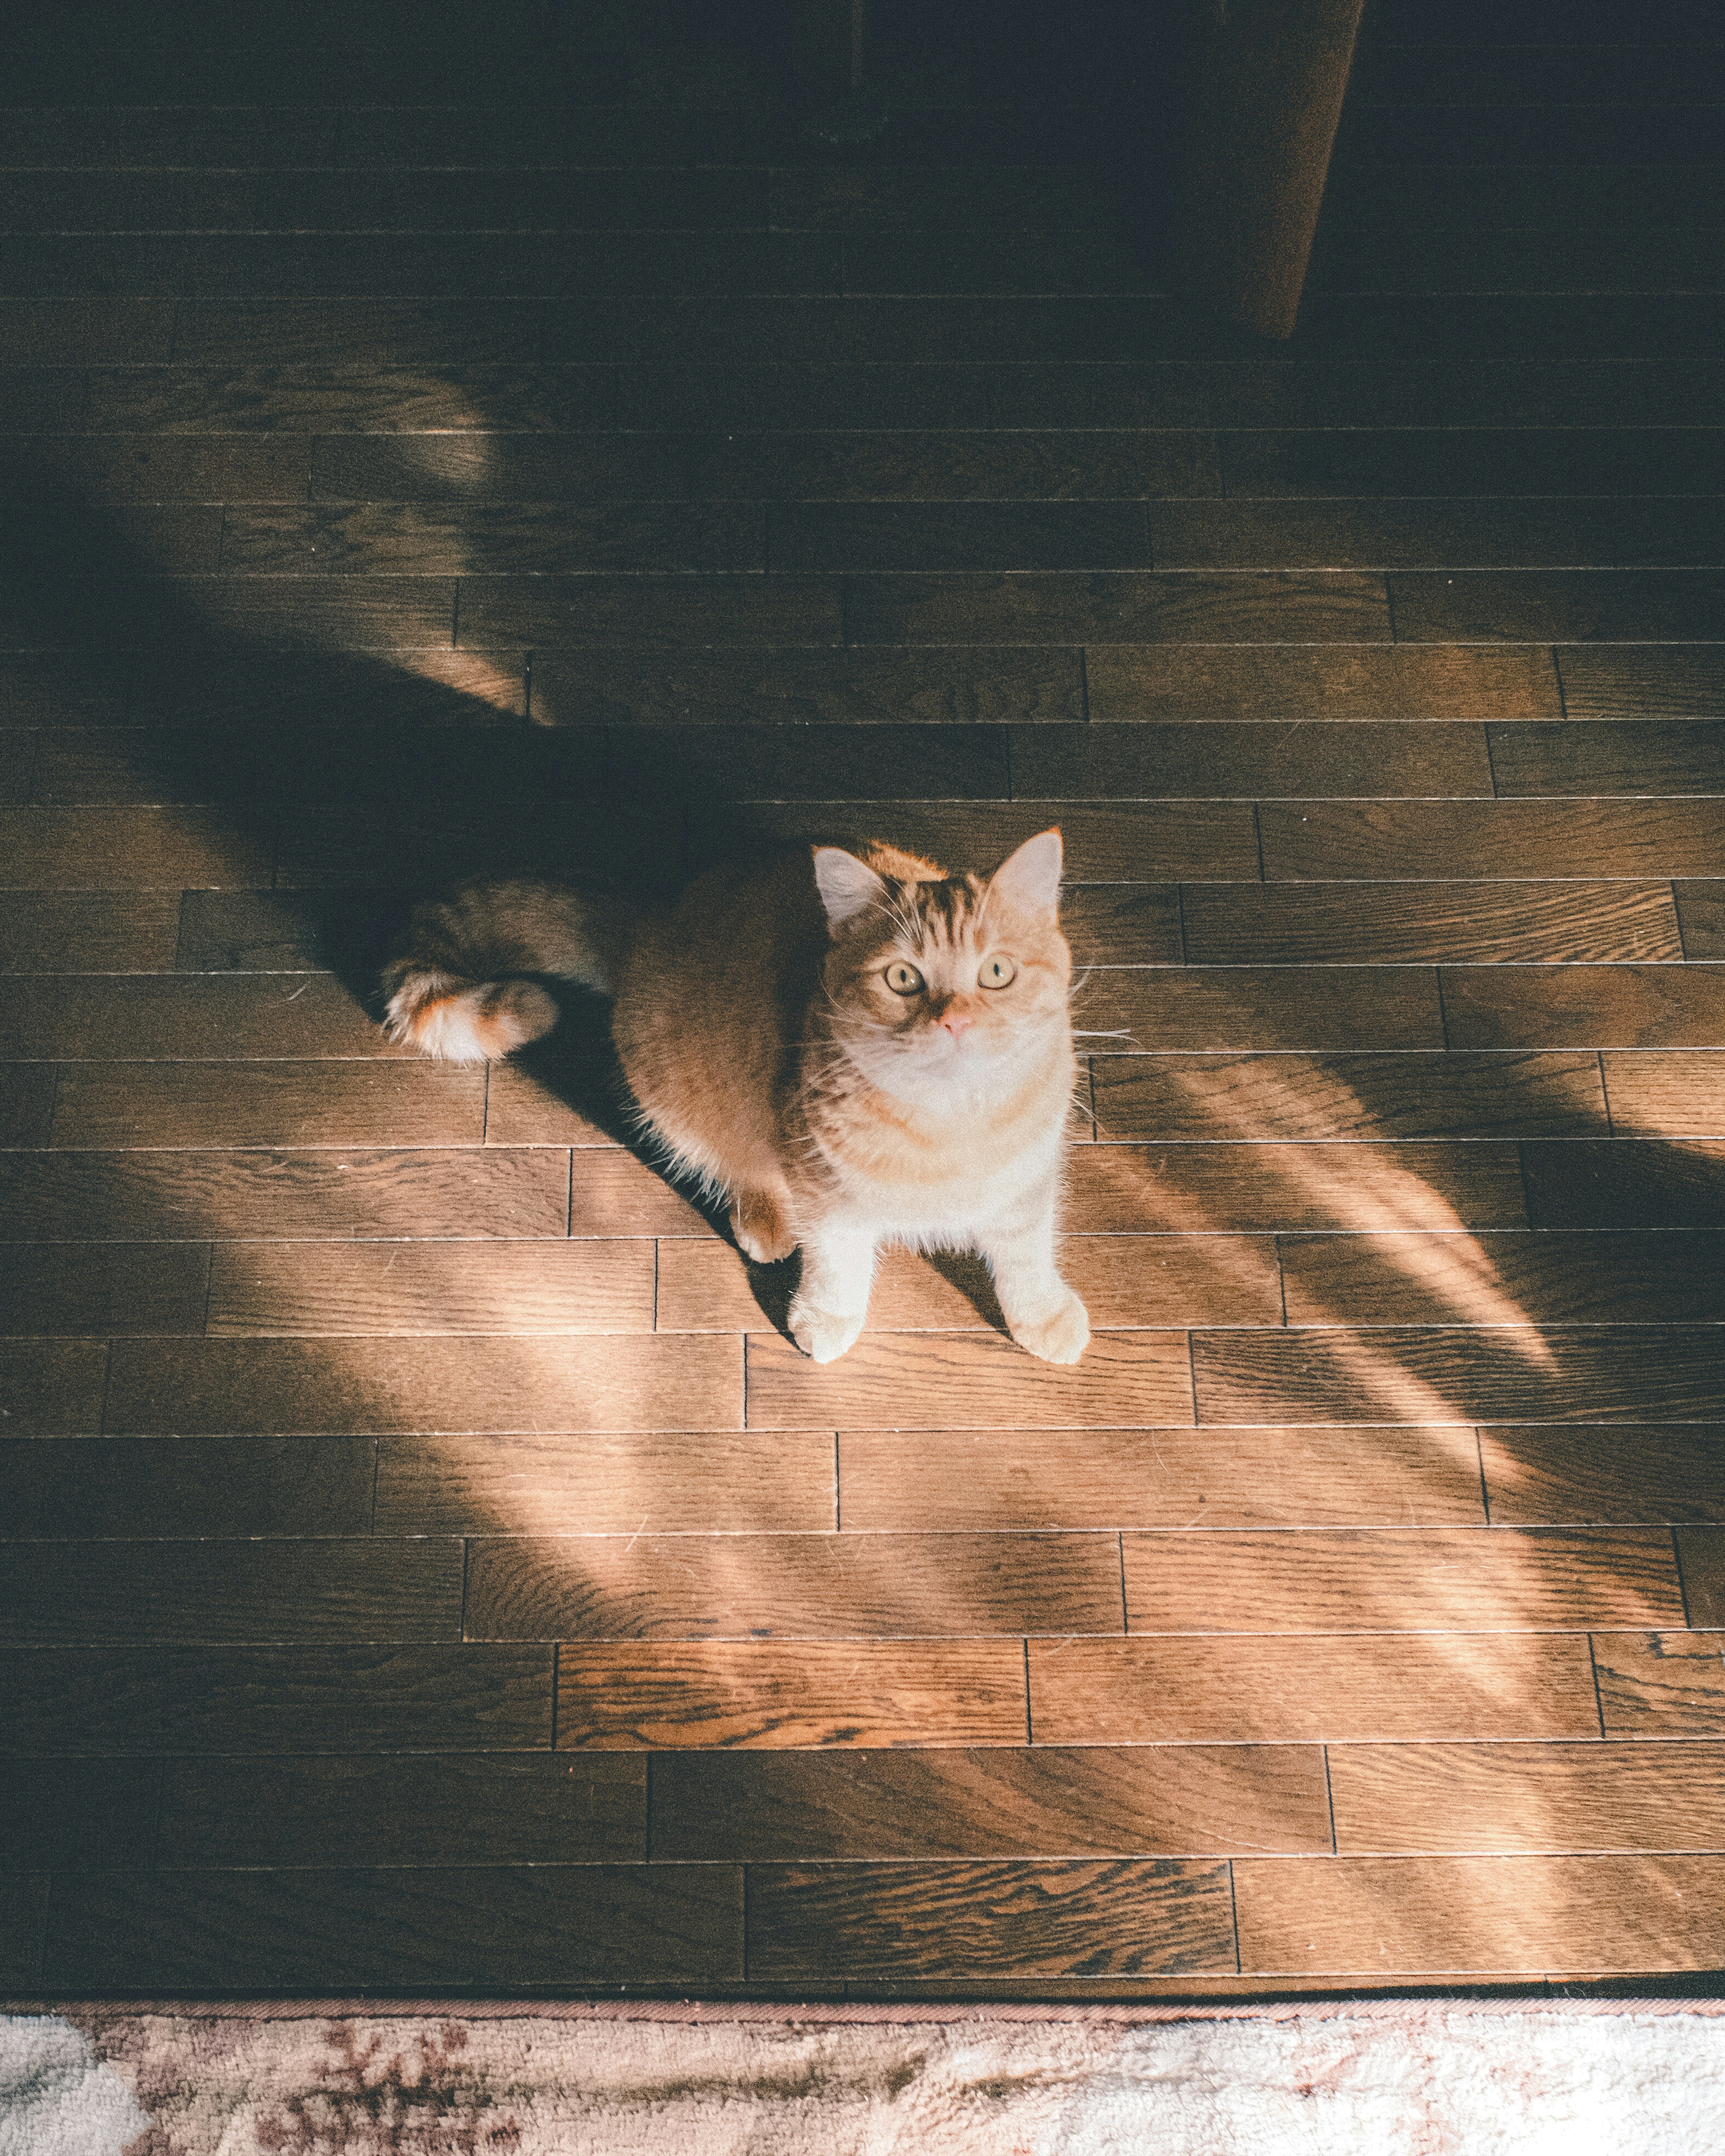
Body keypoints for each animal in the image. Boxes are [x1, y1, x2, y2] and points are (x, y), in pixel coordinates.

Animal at [388, 823, 1091, 1362]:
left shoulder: (1028, 1183)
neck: (951, 1123)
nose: (955, 1022)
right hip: (699, 1103)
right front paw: (829, 1317)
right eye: (902, 979)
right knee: (738, 1166)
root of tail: (654, 924)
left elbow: (1027, 1256)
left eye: (996, 972)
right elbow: (837, 1262)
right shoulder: (824, 1190)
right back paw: (765, 1218)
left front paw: (1042, 1316)